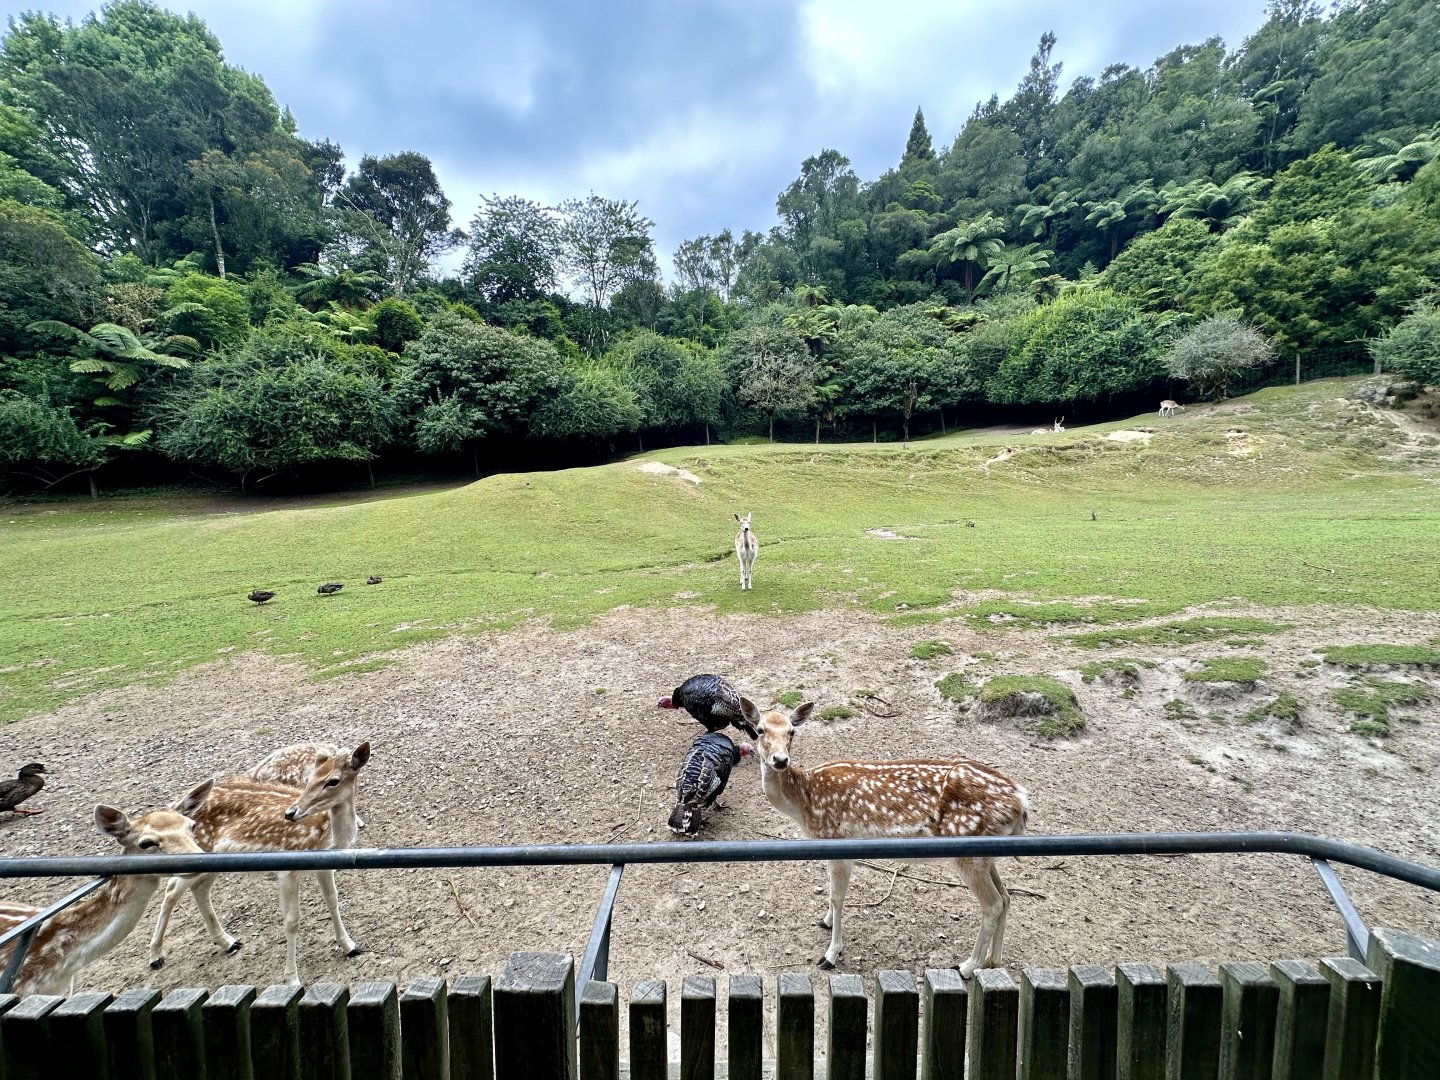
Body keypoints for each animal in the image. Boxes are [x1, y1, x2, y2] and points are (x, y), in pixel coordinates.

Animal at [148, 742, 369, 985]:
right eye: (310, 778)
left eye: (333, 781)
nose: (291, 813)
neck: (326, 838)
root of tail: (175, 808)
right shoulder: (288, 870)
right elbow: (292, 921)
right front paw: (292, 978)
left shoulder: (325, 867)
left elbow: (332, 901)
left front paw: (350, 946)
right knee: (171, 890)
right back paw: (156, 956)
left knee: (199, 889)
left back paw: (228, 942)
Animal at [742, 698, 1028, 976]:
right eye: (760, 730)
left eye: (792, 731)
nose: (780, 760)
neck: (803, 802)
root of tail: (1021, 801)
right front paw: (825, 921)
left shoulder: (838, 841)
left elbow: (838, 897)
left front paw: (830, 955)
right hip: (987, 853)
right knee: (1006, 897)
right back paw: (993, 961)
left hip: (968, 851)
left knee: (992, 904)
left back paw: (967, 966)